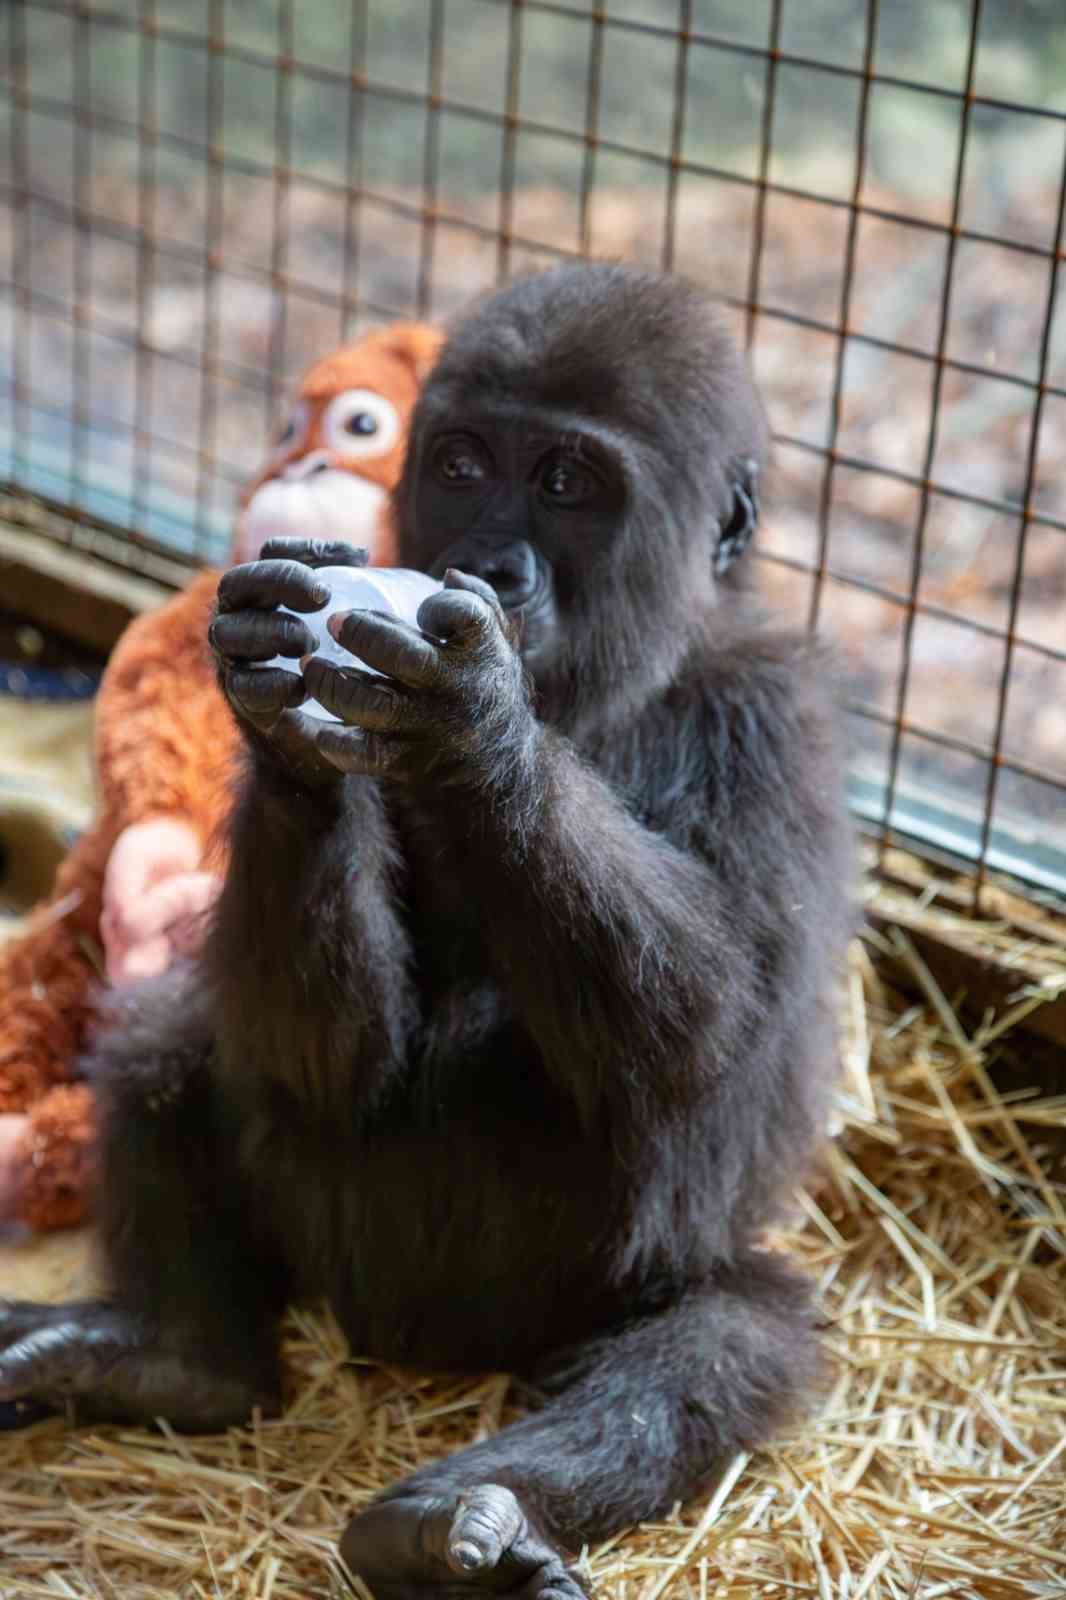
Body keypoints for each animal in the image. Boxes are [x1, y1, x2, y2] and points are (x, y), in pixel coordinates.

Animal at [0, 268, 845, 1593]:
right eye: (458, 463)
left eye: (565, 482)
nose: (486, 561)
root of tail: (409, 1349)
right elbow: (323, 1053)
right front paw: (281, 722)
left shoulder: (773, 719)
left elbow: (706, 1037)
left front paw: (475, 723)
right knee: (169, 1042)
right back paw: (175, 1357)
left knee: (728, 1335)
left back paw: (460, 1518)